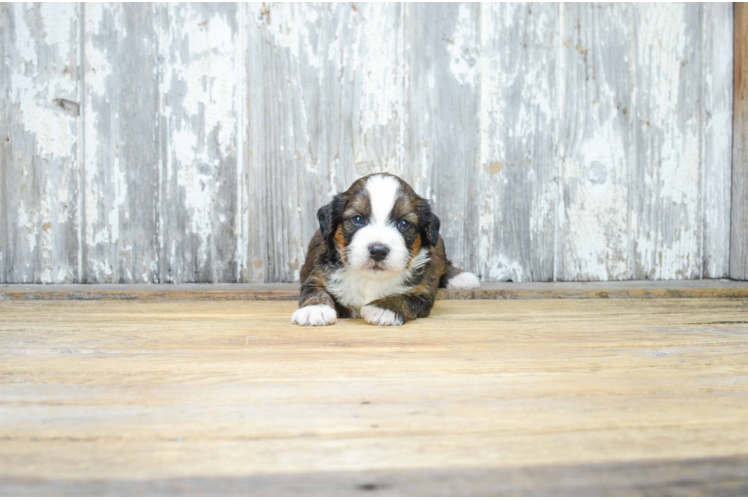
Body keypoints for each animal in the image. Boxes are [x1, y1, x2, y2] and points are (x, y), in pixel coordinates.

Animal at [292, 174, 480, 326]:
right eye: (357, 219)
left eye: (403, 223)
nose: (378, 251)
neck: (370, 280)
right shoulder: (319, 275)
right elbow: (314, 290)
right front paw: (315, 309)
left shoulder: (422, 291)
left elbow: (406, 298)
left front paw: (384, 309)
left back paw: (461, 277)